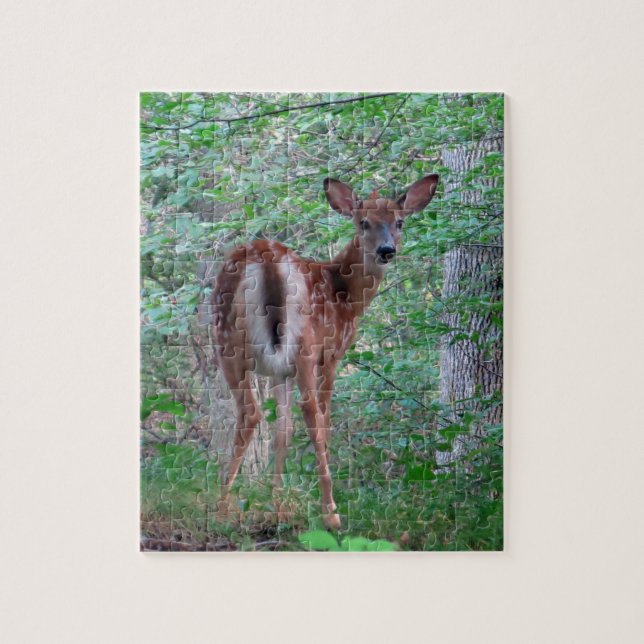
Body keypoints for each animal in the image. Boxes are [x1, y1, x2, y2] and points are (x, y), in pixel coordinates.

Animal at [212, 174, 439, 530]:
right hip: (304, 344)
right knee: (310, 414)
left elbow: (282, 431)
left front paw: (276, 501)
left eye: (399, 222)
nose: (386, 250)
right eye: (363, 222)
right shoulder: (331, 354)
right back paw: (330, 511)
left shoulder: (279, 371)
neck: (345, 295)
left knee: (250, 412)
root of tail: (268, 259)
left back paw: (221, 506)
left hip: (226, 339)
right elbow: (324, 422)